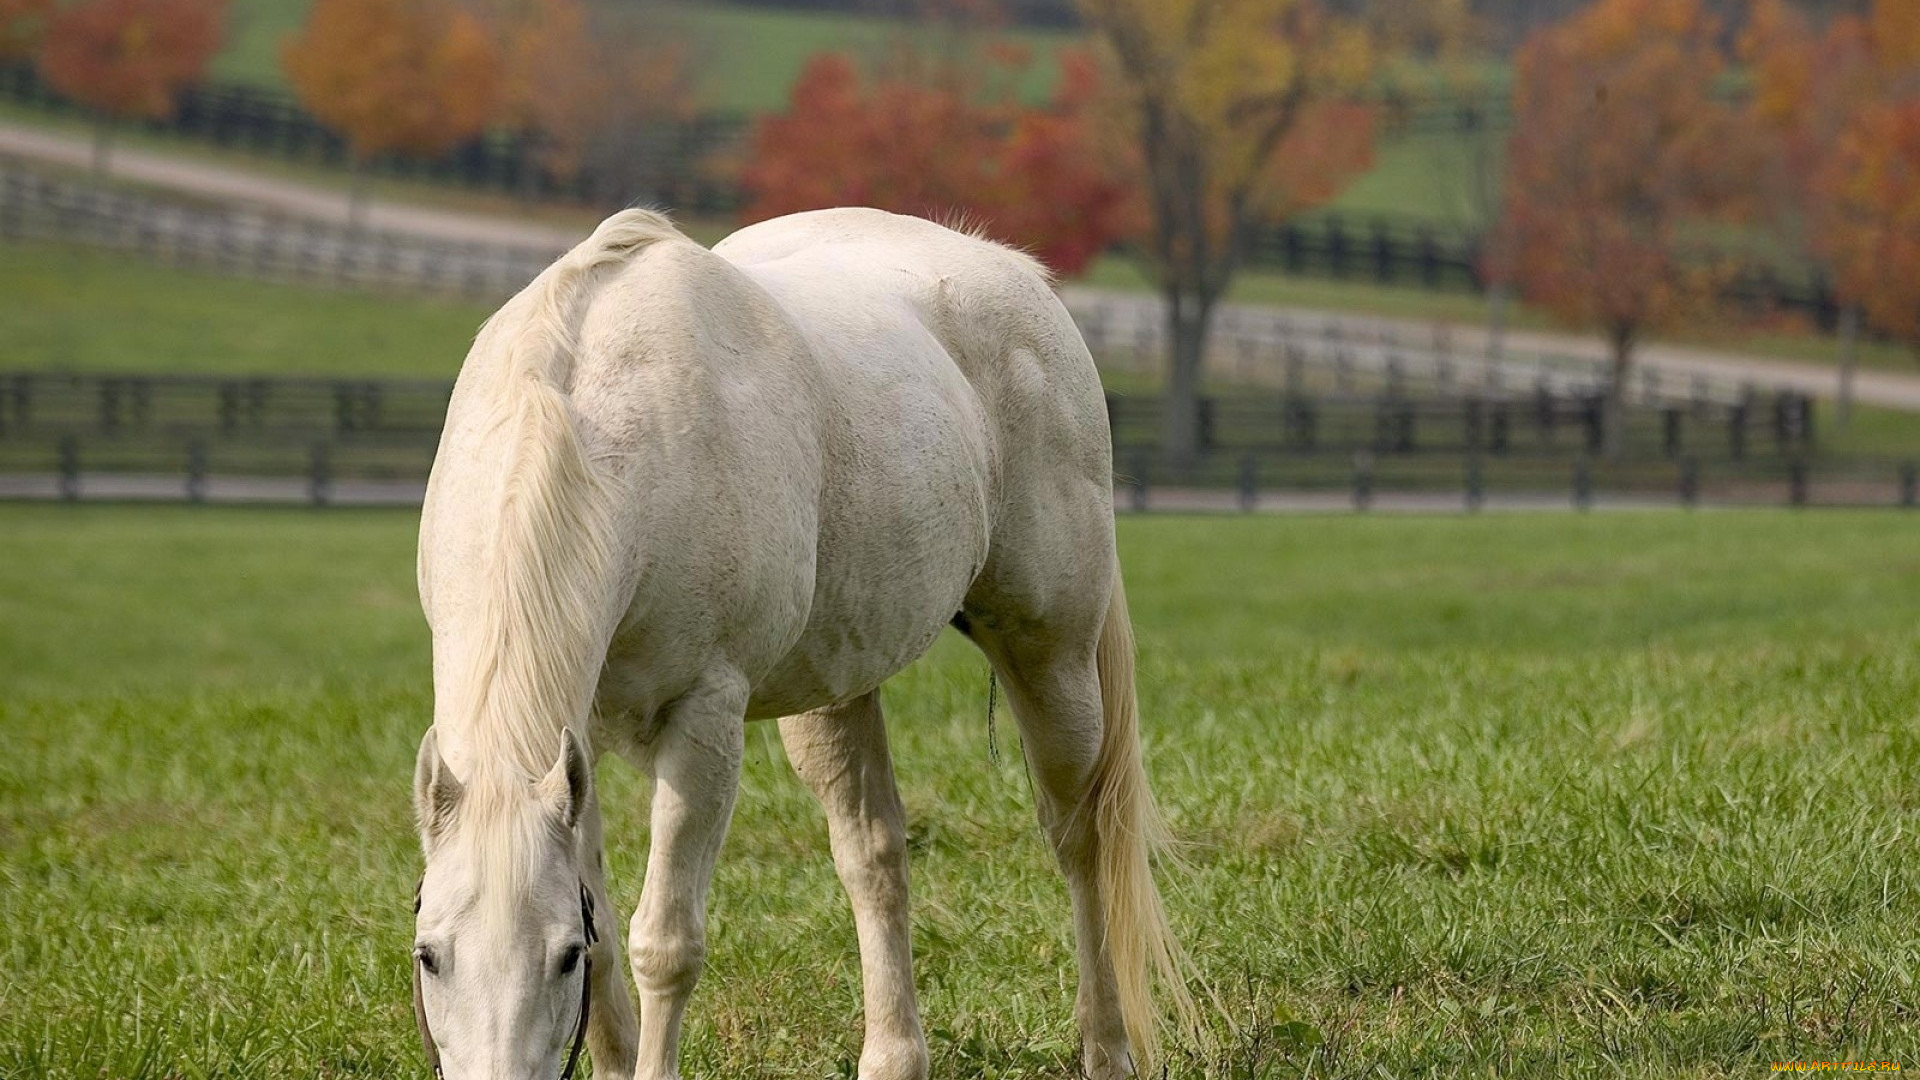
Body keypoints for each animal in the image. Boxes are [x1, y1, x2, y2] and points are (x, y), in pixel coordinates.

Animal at [414, 205, 1190, 1076]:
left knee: (1081, 840)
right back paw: (892, 1055)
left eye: (559, 959)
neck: (595, 431)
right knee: (874, 855)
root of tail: (1016, 272)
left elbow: (663, 944)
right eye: (428, 955)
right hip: (836, 691)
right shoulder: (573, 742)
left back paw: (1107, 1046)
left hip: (1053, 658)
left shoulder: (704, 723)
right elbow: (611, 933)